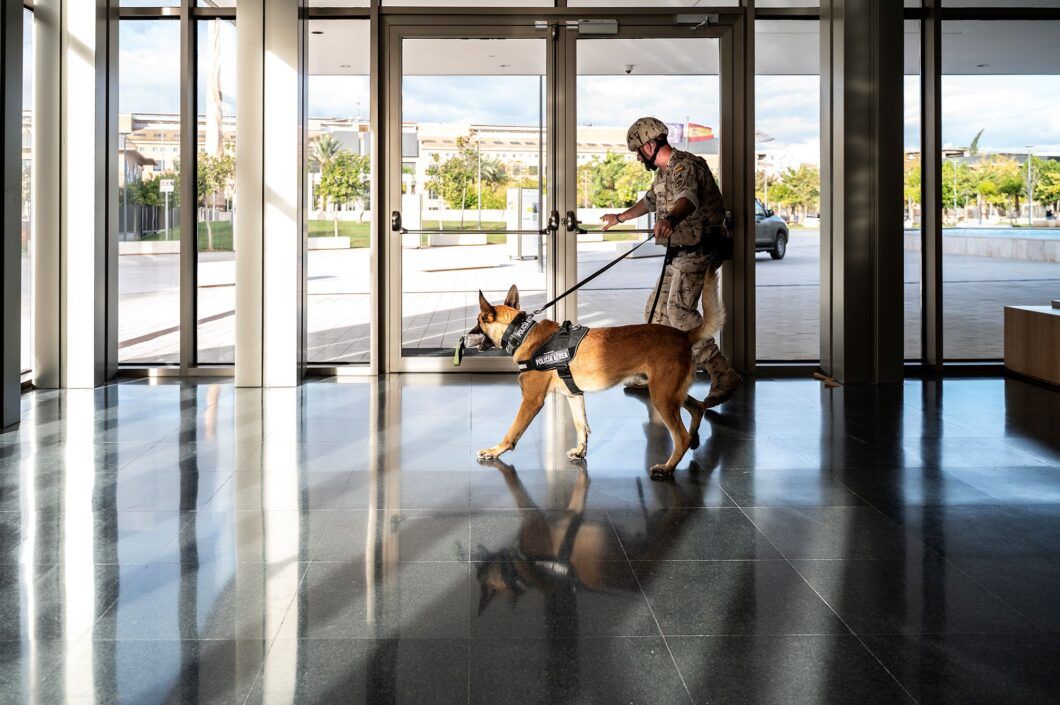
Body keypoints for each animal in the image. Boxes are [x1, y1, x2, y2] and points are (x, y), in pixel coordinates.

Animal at [470, 268, 724, 478]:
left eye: (478, 321)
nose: (466, 335)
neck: (521, 333)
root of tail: (684, 335)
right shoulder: (574, 395)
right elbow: (581, 425)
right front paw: (581, 451)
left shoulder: (531, 401)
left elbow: (512, 431)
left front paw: (495, 450)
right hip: (670, 392)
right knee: (698, 407)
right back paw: (694, 438)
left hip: (662, 396)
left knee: (681, 436)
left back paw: (668, 467)